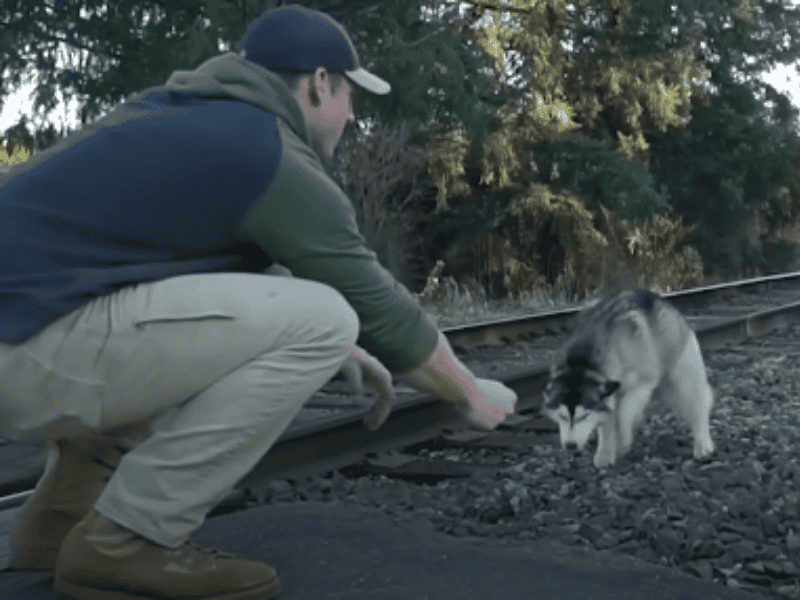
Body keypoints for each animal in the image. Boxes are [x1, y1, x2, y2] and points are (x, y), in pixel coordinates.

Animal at [540, 290, 716, 468]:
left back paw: (703, 444)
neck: (583, 363)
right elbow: (607, 422)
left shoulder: (642, 384)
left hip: (682, 380)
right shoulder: (608, 395)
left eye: (584, 416)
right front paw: (605, 453)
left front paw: (622, 440)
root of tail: (662, 302)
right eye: (561, 416)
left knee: (698, 406)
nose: (570, 445)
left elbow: (623, 414)